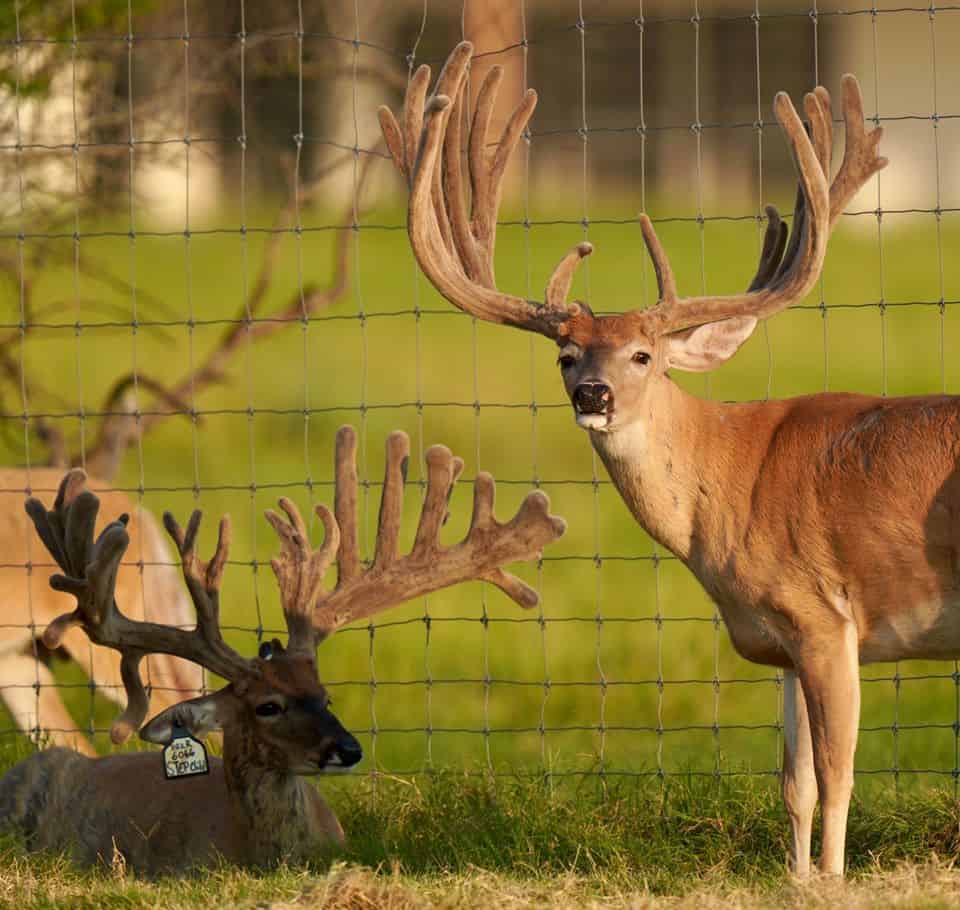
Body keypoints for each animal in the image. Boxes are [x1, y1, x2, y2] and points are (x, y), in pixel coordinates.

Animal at [377, 41, 907, 876]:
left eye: (643, 354)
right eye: (565, 354)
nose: (593, 393)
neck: (734, 475)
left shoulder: (827, 615)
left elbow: (840, 773)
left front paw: (831, 879)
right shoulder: (785, 640)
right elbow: (796, 783)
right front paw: (794, 879)